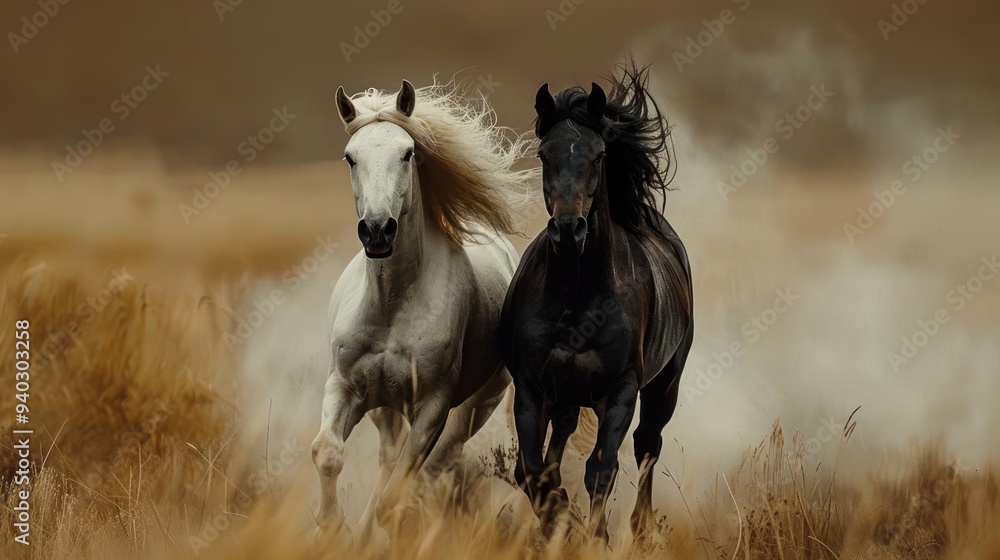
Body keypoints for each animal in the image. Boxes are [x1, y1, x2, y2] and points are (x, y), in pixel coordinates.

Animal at [311, 79, 534, 540]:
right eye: (350, 156)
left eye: (407, 152)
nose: (378, 230)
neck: (392, 304)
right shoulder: (345, 385)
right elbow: (327, 451)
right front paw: (331, 526)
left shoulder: (433, 407)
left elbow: (396, 498)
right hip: (383, 407)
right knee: (388, 455)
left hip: (475, 406)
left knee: (438, 462)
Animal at [498, 63, 694, 540]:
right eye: (543, 154)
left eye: (600, 155)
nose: (570, 231)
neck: (578, 300)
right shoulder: (531, 388)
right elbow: (533, 471)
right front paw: (558, 526)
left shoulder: (620, 391)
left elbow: (601, 469)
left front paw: (595, 536)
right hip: (567, 396)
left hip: (664, 386)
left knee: (647, 446)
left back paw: (640, 531)